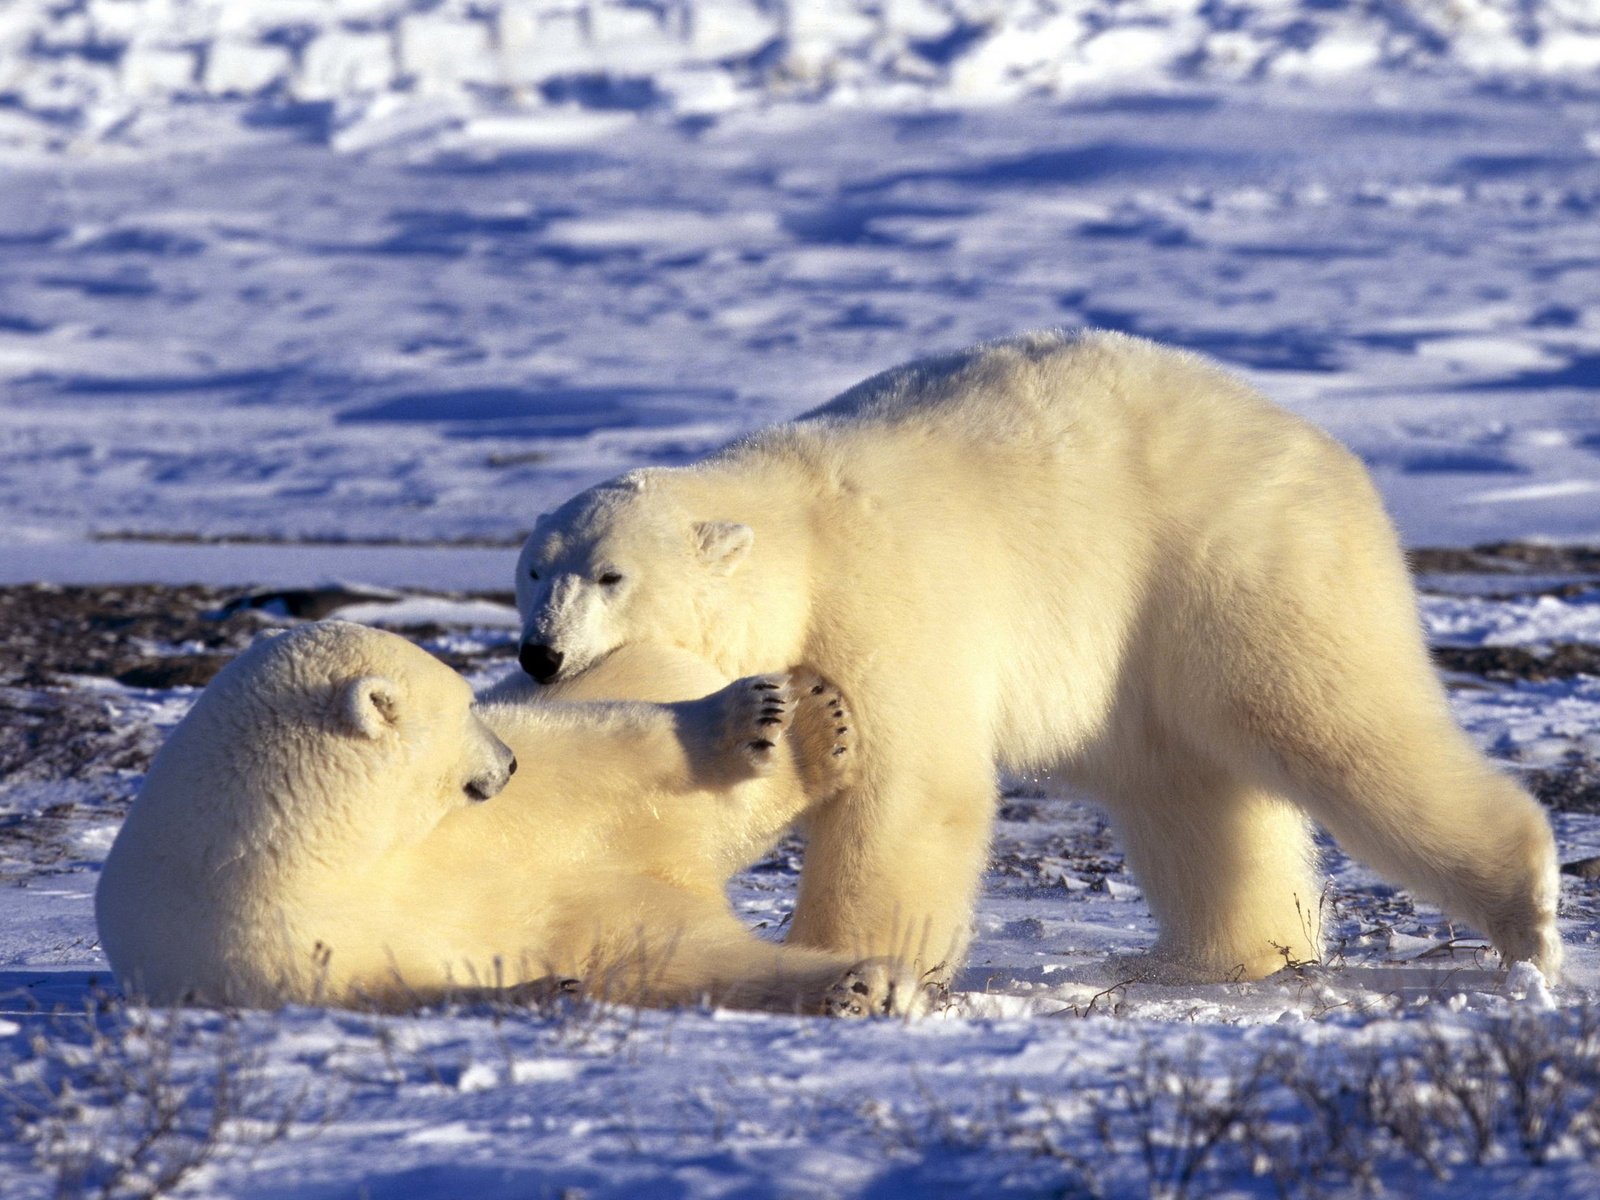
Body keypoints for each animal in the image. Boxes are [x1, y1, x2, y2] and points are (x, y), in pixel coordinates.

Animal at [96, 620, 915, 1017]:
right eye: (461, 708)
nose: (506, 762)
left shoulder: (469, 827)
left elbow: (595, 757)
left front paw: (756, 719)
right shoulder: (263, 941)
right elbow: (390, 986)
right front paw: (544, 988)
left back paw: (806, 724)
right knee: (702, 960)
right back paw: (858, 985)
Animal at [521, 326, 1561, 985]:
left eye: (610, 575)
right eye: (532, 570)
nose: (539, 655)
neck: (799, 531)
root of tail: (1325, 449)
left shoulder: (886, 602)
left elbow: (911, 788)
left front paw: (845, 956)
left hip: (1236, 560)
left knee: (1335, 722)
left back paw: (1528, 911)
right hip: (1149, 655)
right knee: (1190, 794)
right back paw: (1221, 954)